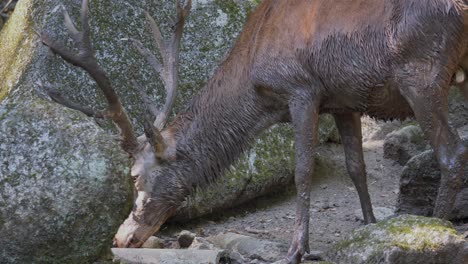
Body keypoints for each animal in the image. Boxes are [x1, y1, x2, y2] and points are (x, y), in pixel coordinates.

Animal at [39, 0, 468, 264]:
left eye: (134, 176)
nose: (122, 237)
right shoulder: (344, 100)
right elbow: (355, 168)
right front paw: (372, 227)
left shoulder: (302, 88)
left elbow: (303, 171)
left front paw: (297, 249)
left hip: (423, 72)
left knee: (451, 152)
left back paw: (435, 228)